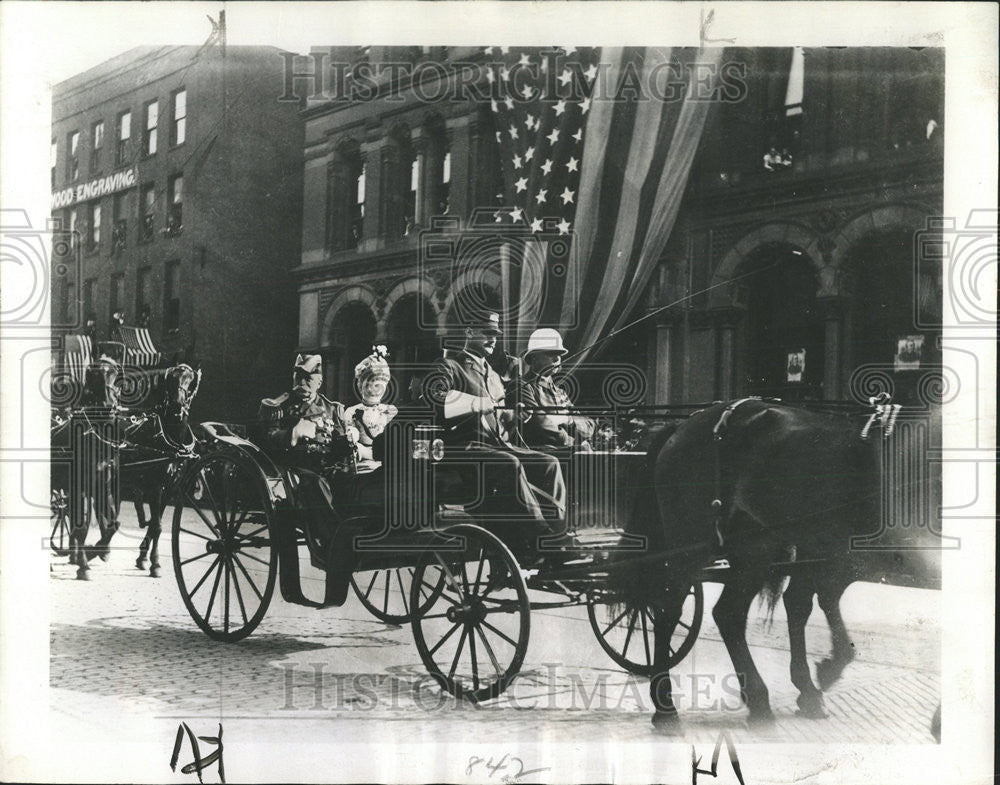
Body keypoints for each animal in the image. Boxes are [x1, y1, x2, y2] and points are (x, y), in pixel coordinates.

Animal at [628, 398, 940, 728]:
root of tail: (686, 423)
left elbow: (811, 602)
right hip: (691, 546)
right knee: (668, 610)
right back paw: (666, 709)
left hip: (757, 549)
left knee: (730, 613)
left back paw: (761, 699)